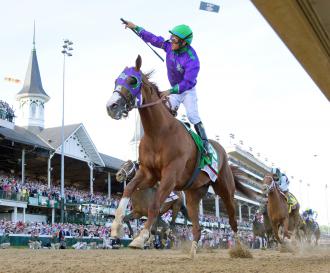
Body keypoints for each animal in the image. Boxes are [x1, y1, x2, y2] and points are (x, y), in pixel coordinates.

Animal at [105, 55, 255, 258]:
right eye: (115, 81)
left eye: (132, 80)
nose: (111, 107)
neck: (158, 132)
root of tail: (222, 151)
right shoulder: (148, 173)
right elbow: (128, 191)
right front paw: (116, 228)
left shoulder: (170, 175)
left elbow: (155, 205)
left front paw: (141, 238)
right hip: (193, 194)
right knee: (197, 227)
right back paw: (191, 252)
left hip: (225, 189)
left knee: (232, 218)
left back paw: (240, 249)